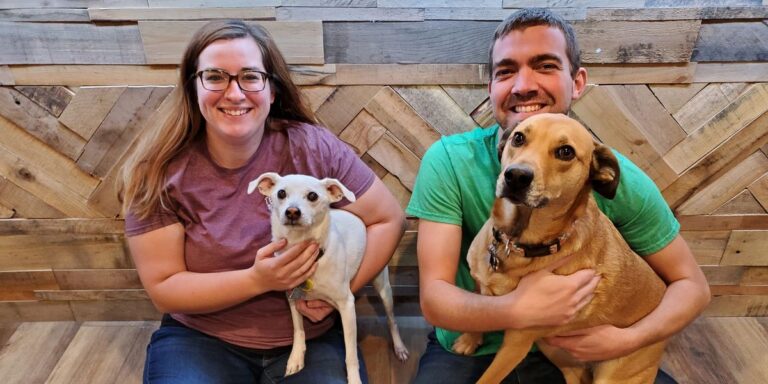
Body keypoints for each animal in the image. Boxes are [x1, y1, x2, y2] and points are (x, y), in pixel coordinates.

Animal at [249, 174, 412, 384]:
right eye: (281, 193)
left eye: (312, 195)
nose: (292, 211)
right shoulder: (292, 298)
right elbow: (298, 329)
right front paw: (295, 358)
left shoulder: (347, 305)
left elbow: (350, 355)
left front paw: (354, 379)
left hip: (383, 287)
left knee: (392, 320)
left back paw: (399, 347)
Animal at [456, 114, 664, 384]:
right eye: (518, 137)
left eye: (566, 152)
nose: (516, 176)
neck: (516, 243)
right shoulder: (480, 285)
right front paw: (469, 341)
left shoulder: (516, 344)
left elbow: (488, 379)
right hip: (555, 351)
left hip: (612, 373)